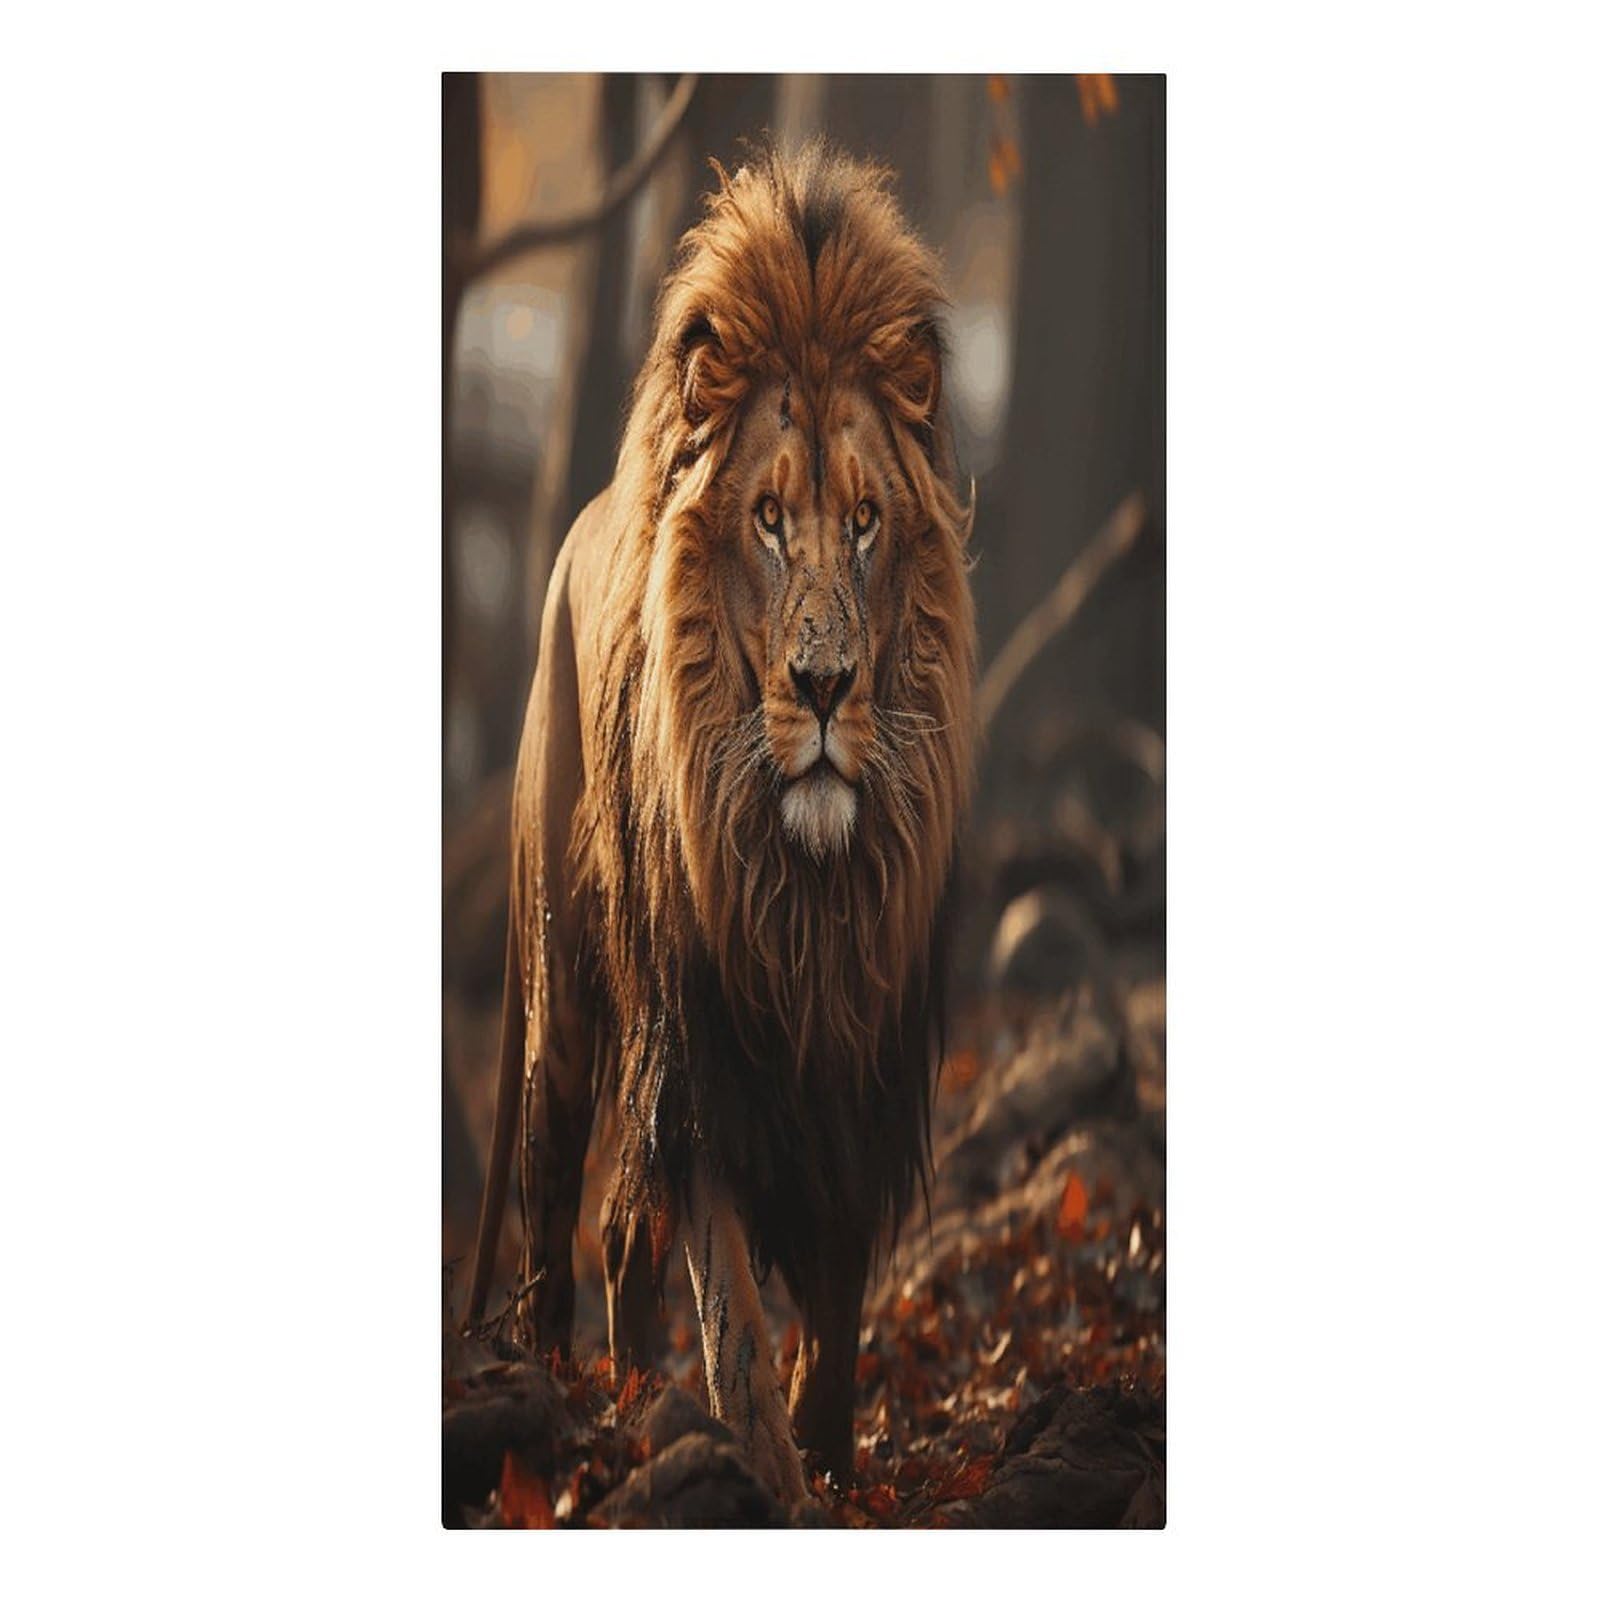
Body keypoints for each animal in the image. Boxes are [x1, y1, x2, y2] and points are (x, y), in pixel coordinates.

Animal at [466, 145, 976, 1504]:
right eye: (767, 519)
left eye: (865, 520)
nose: (824, 685)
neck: (808, 885)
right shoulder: (700, 1052)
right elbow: (737, 1317)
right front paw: (767, 1480)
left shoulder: (856, 1070)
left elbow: (835, 1309)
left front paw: (832, 1465)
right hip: (564, 1007)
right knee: (554, 1219)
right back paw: (558, 1399)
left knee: (620, 1240)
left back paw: (638, 1396)